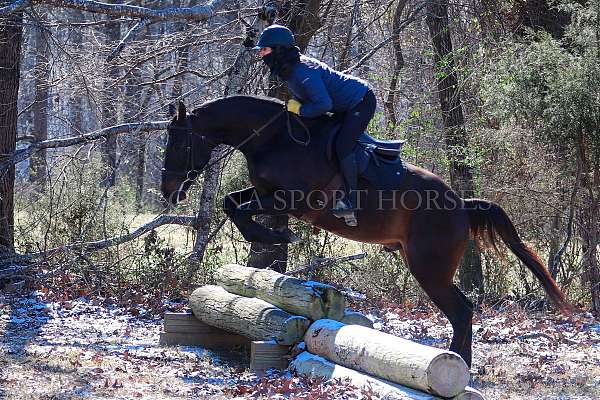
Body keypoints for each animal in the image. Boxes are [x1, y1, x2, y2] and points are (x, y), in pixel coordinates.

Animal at [159, 96, 572, 366]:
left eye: (179, 142)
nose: (168, 190)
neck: (273, 138)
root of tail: (461, 204)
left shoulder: (291, 200)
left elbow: (239, 209)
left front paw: (275, 237)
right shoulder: (265, 194)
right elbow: (231, 202)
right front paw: (266, 237)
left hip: (429, 269)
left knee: (461, 310)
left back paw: (457, 364)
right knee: (462, 311)